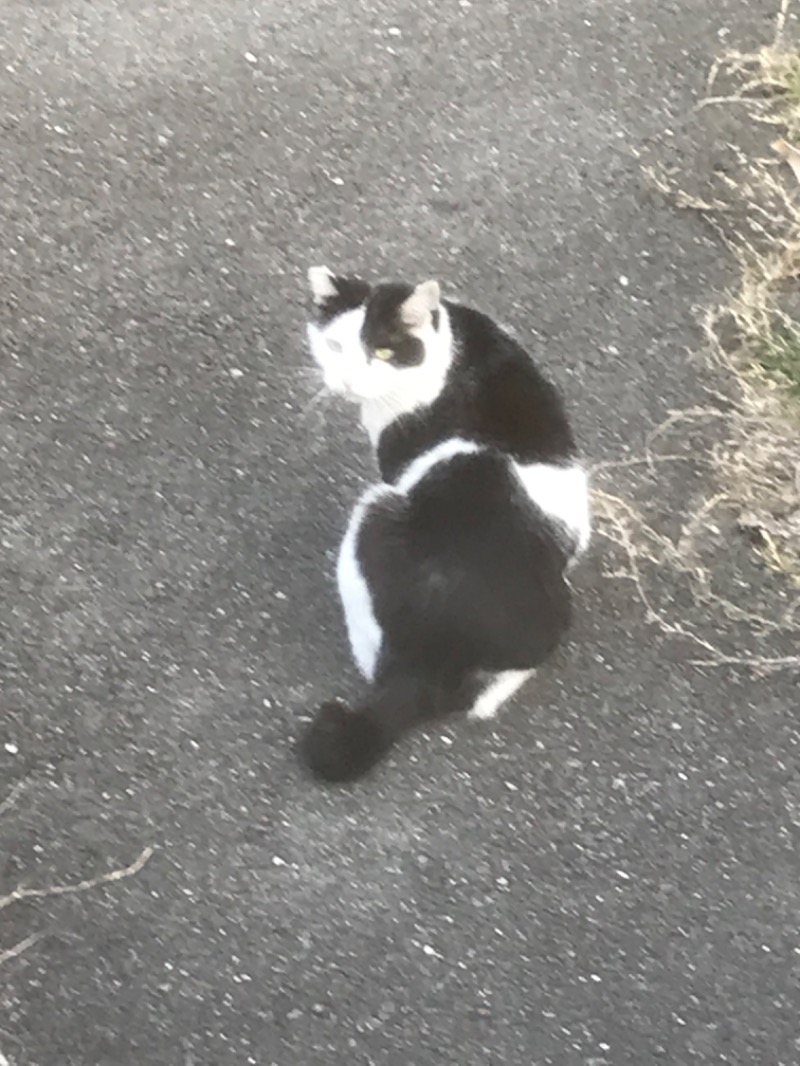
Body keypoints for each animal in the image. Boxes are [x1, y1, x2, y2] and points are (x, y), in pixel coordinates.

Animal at [298, 266, 593, 784]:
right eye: (334, 346)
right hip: (558, 601)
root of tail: (433, 653)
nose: (348, 381)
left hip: (373, 512)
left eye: (384, 352)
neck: (449, 348)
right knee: (481, 694)